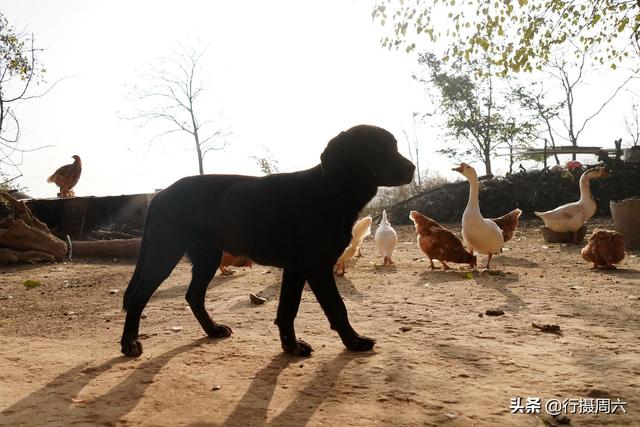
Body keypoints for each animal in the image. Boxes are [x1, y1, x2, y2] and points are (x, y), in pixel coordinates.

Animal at [121, 124, 416, 358]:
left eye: (394, 145)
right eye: (373, 147)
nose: (412, 168)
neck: (332, 191)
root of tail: (159, 195)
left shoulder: (296, 269)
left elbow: (287, 310)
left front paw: (291, 347)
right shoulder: (317, 268)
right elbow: (337, 307)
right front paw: (354, 342)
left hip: (208, 257)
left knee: (193, 295)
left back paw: (212, 329)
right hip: (164, 253)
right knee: (137, 297)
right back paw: (129, 344)